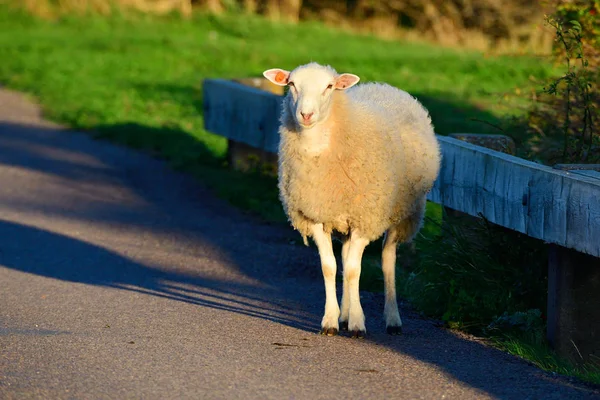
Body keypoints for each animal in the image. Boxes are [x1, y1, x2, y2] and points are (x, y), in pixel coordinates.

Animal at [262, 62, 440, 338]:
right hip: (344, 222)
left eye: (329, 86)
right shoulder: (316, 216)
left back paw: (392, 319)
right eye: (292, 85)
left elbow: (356, 270)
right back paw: (344, 315)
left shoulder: (364, 220)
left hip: (400, 214)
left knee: (387, 260)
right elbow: (330, 267)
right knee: (346, 258)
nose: (306, 115)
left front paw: (357, 323)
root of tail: (382, 85)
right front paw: (331, 321)